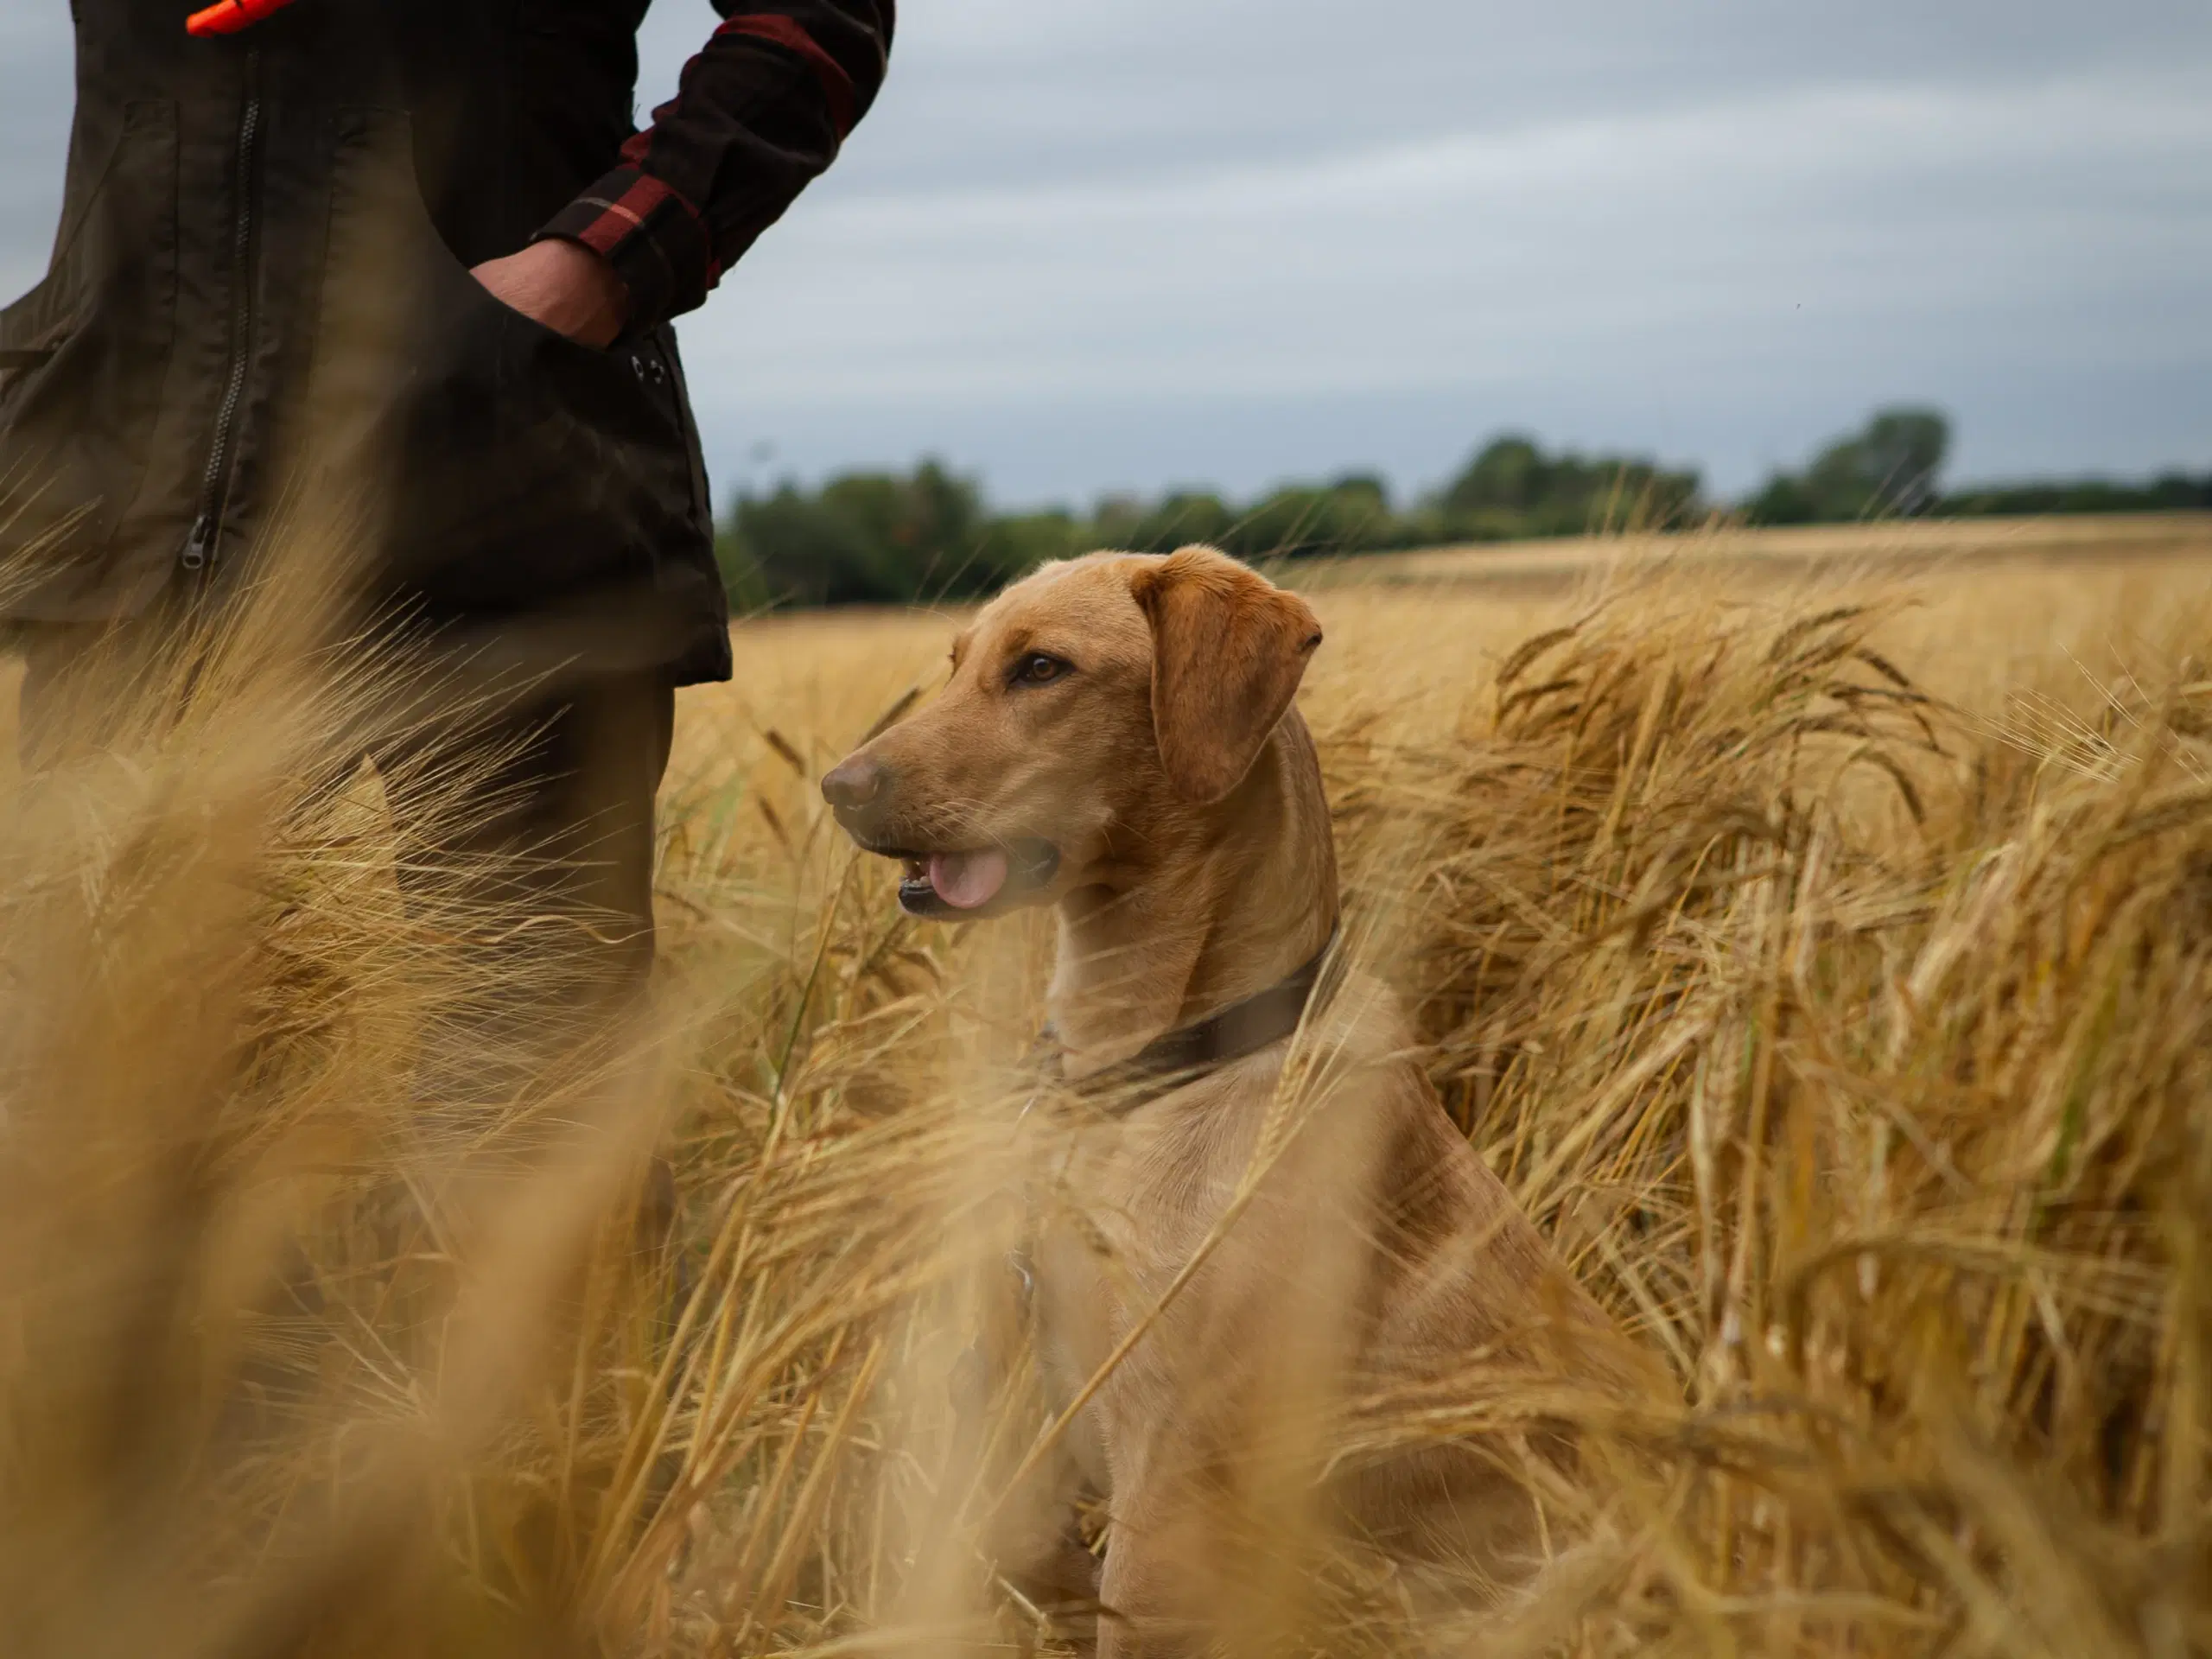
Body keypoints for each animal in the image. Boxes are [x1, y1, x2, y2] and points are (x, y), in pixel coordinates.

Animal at [823, 553, 1654, 1654]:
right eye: (957, 662)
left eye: (1041, 668)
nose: (836, 788)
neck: (1147, 1069)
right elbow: (1022, 1551)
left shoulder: (1169, 1486)